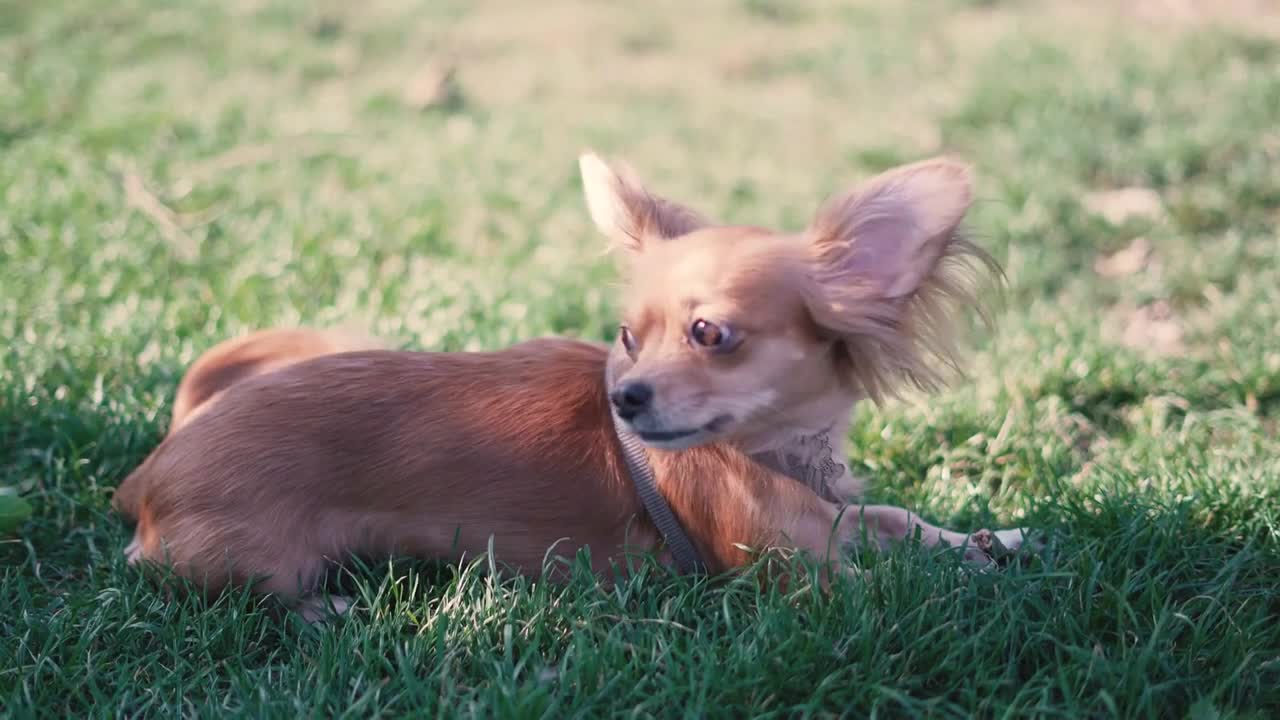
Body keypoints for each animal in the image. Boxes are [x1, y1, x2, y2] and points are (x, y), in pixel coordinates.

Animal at [110, 152, 1029, 617]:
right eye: (627, 338)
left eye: (709, 335)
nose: (625, 396)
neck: (774, 451)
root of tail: (147, 477)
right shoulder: (802, 577)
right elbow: (896, 587)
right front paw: (980, 576)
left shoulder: (834, 516)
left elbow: (901, 522)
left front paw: (993, 542)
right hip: (259, 561)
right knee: (262, 594)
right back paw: (325, 612)